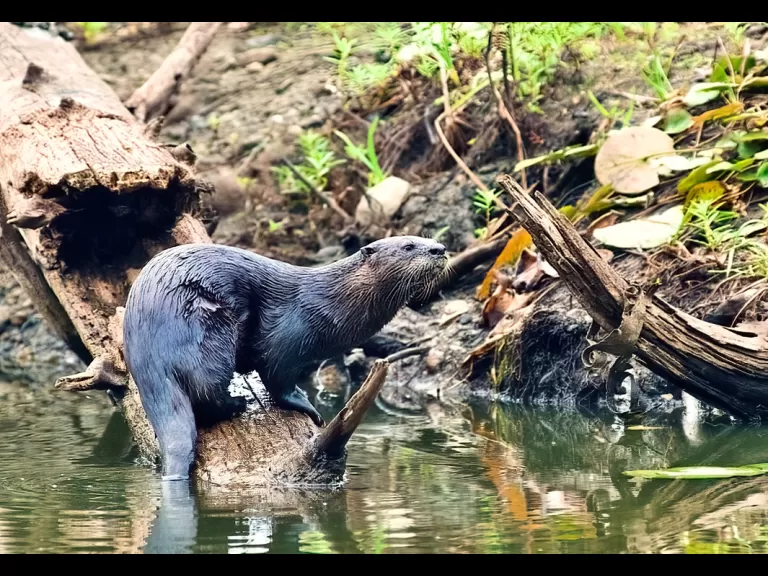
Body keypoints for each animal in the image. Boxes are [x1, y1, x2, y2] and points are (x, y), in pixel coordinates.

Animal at [122, 236, 448, 480]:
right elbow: (278, 377)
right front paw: (308, 407)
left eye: (427, 238)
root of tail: (148, 355)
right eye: (408, 246)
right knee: (206, 395)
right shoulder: (289, 335)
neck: (332, 302)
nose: (440, 249)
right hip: (208, 331)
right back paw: (238, 403)